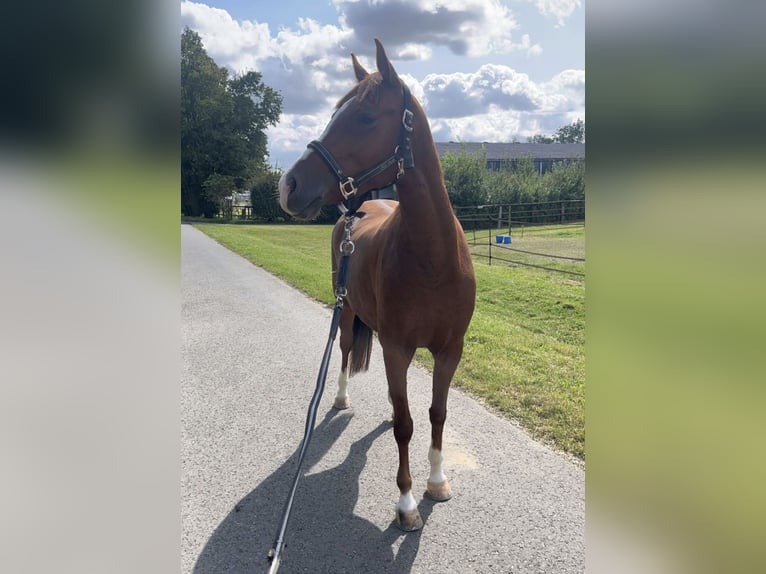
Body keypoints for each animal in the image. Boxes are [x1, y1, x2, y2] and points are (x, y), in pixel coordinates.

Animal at [280, 40, 476, 532]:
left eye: (366, 117)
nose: (288, 185)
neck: (433, 259)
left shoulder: (450, 351)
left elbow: (436, 413)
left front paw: (437, 482)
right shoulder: (395, 348)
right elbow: (406, 424)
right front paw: (406, 503)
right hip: (347, 312)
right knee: (347, 351)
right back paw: (340, 398)